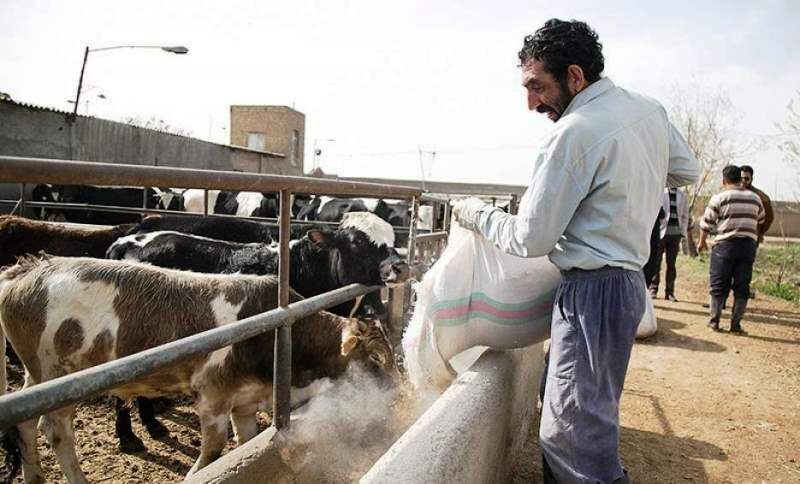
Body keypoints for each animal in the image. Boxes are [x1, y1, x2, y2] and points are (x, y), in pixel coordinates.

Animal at [0, 255, 396, 482]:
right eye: (376, 359)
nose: (398, 396)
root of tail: (27, 269)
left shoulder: (244, 403)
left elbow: (245, 444)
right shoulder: (212, 395)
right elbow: (214, 449)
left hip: (38, 377)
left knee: (25, 423)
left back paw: (34, 477)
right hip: (59, 373)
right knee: (57, 430)